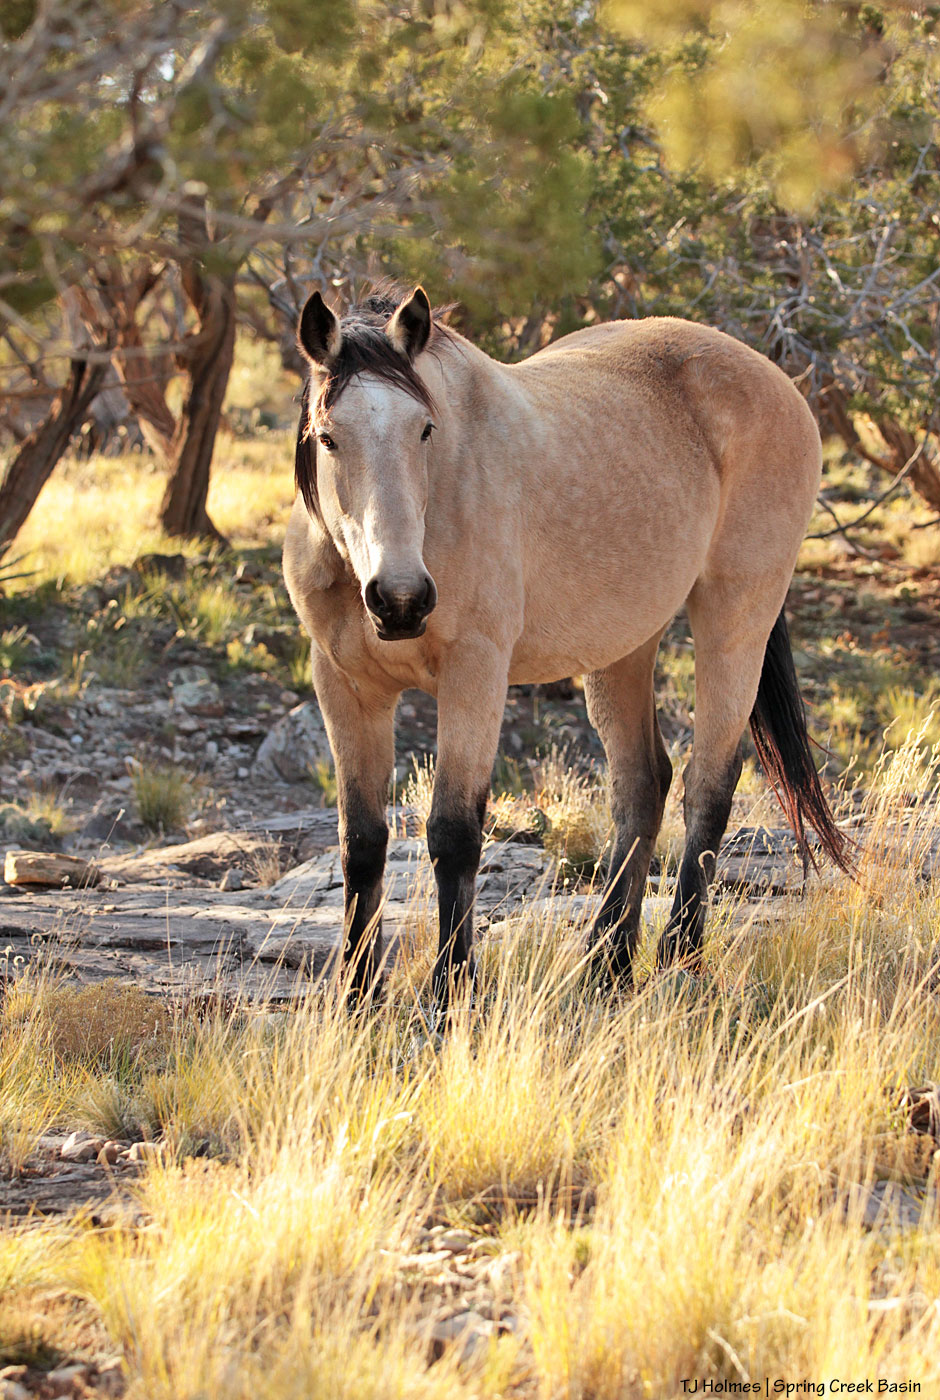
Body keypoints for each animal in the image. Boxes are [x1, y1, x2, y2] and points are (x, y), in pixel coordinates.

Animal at [283, 284, 852, 1007]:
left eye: (425, 430)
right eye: (328, 437)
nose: (401, 599)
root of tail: (778, 382)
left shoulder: (475, 673)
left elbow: (453, 833)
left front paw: (451, 991)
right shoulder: (346, 687)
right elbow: (362, 841)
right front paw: (356, 999)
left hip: (736, 616)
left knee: (709, 785)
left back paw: (679, 959)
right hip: (626, 645)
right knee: (643, 786)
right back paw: (606, 966)